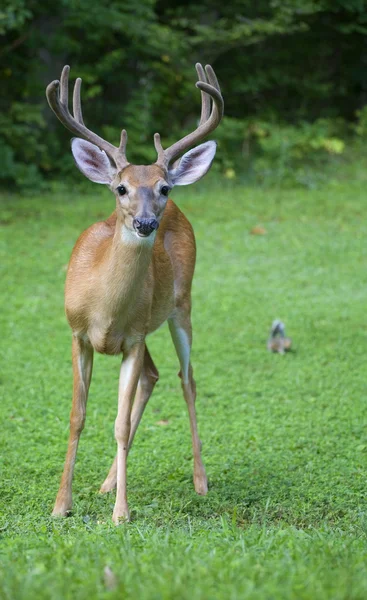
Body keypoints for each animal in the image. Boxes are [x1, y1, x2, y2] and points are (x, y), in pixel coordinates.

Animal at [46, 59, 224, 520]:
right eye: (120, 188)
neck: (104, 310)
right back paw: (107, 482)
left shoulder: (134, 338)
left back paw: (200, 481)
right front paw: (61, 505)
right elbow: (78, 416)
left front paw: (121, 514)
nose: (146, 222)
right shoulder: (78, 333)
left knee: (186, 379)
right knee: (154, 376)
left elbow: (120, 424)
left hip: (180, 307)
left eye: (163, 187)